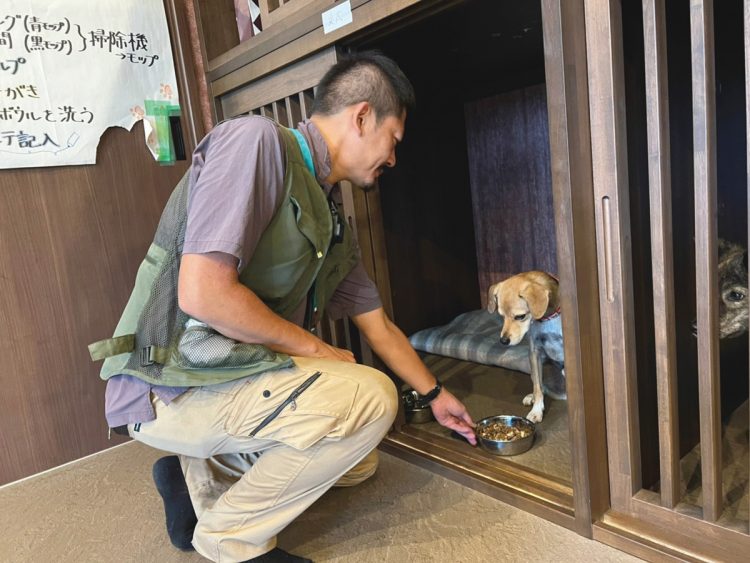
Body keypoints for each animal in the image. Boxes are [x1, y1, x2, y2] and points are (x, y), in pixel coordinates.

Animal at [488, 270, 564, 424]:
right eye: (501, 316)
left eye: (520, 316)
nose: (503, 341)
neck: (546, 320)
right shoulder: (534, 352)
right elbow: (537, 388)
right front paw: (537, 410)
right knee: (541, 385)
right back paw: (532, 397)